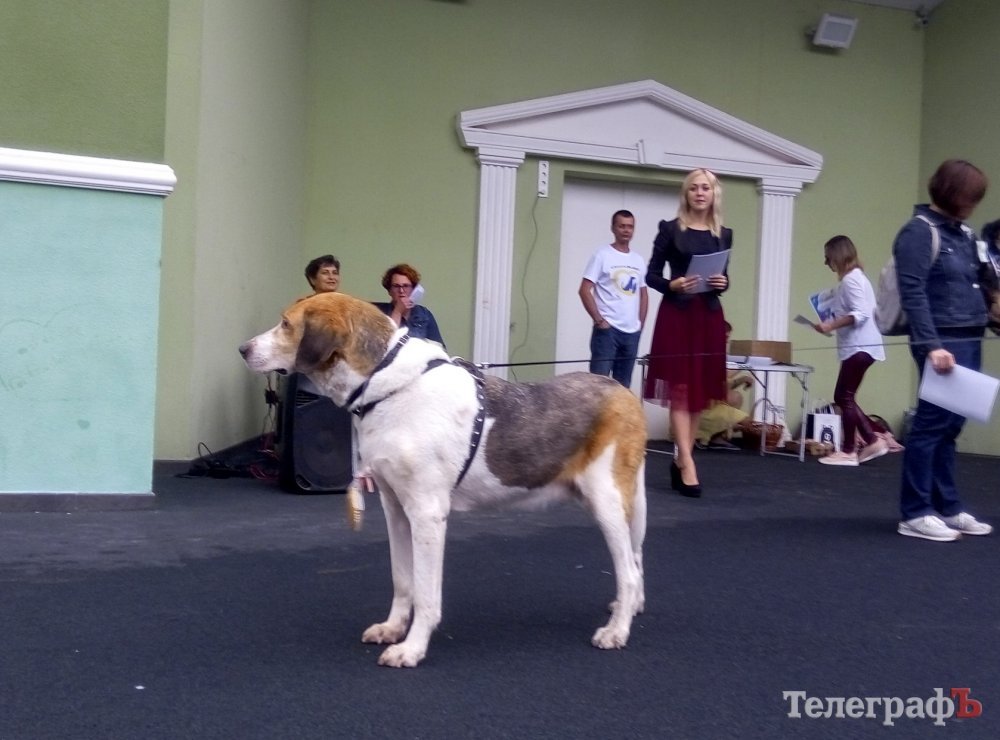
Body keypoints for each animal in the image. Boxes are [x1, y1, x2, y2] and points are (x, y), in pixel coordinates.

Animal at [239, 292, 647, 667]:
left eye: (286, 324)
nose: (243, 349)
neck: (386, 385)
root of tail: (624, 391)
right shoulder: (395, 509)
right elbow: (403, 581)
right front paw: (393, 628)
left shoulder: (427, 514)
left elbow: (425, 593)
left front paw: (412, 649)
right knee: (635, 560)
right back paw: (627, 608)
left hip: (607, 502)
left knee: (627, 571)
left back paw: (616, 630)